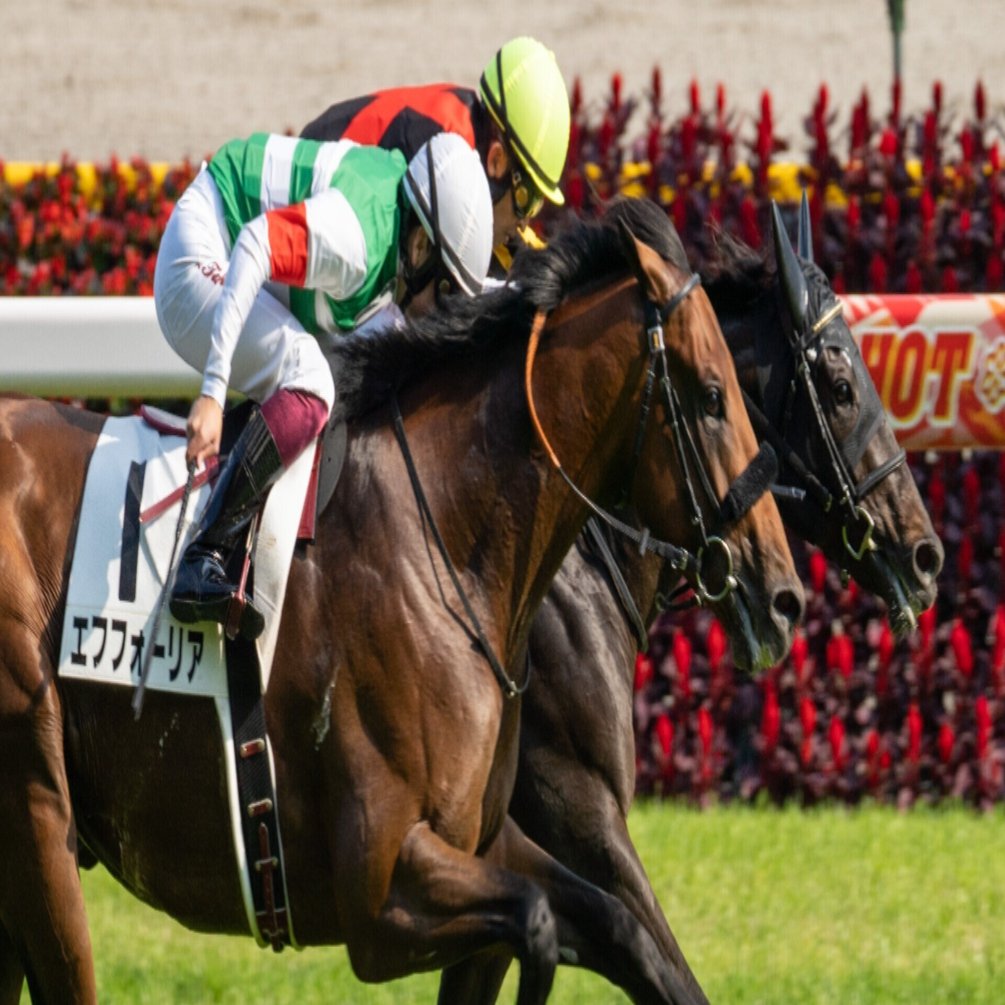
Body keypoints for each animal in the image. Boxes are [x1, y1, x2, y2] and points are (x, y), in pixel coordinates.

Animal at [0, 202, 803, 1004]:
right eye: (711, 397)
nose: (784, 596)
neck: (442, 539)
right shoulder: (381, 892)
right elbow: (540, 922)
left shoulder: (488, 838)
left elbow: (615, 928)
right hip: (37, 805)